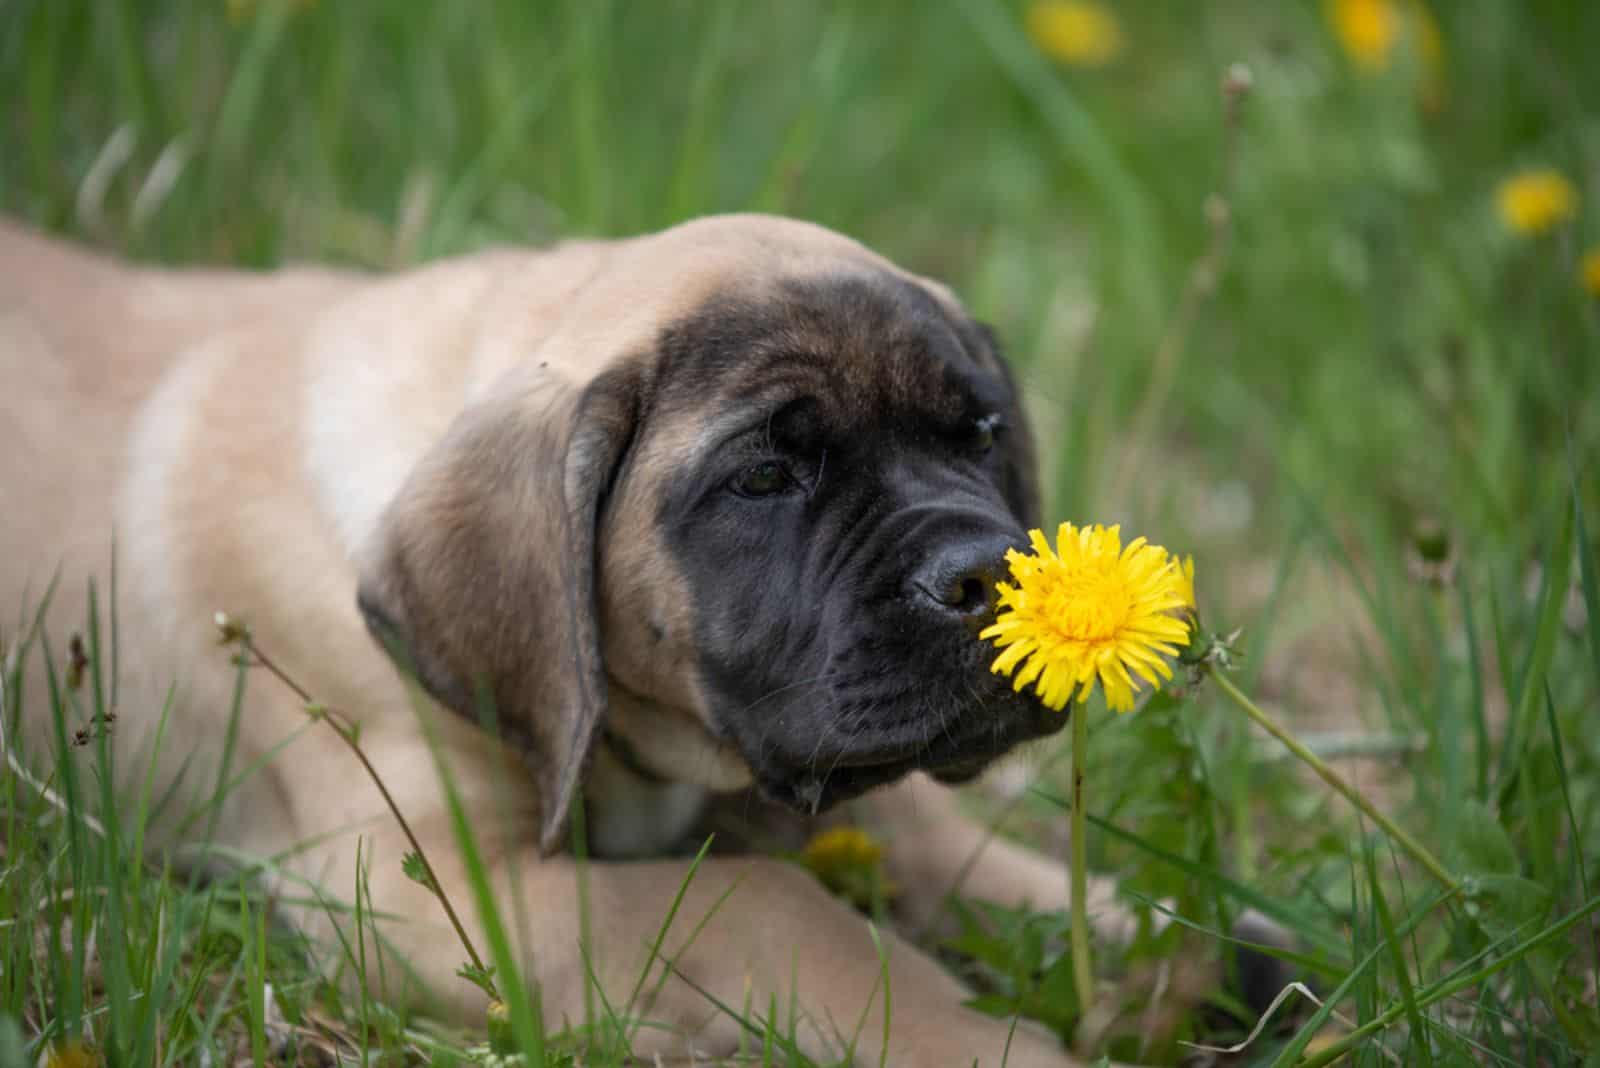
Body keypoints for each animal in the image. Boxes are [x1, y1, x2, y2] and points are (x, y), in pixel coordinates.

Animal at [3, 217, 1177, 1068]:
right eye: (764, 476)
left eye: (979, 436)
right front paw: (984, 1040)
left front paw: (1161, 941)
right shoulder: (418, 886)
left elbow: (965, 853)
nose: (990, 574)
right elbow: (760, 903)